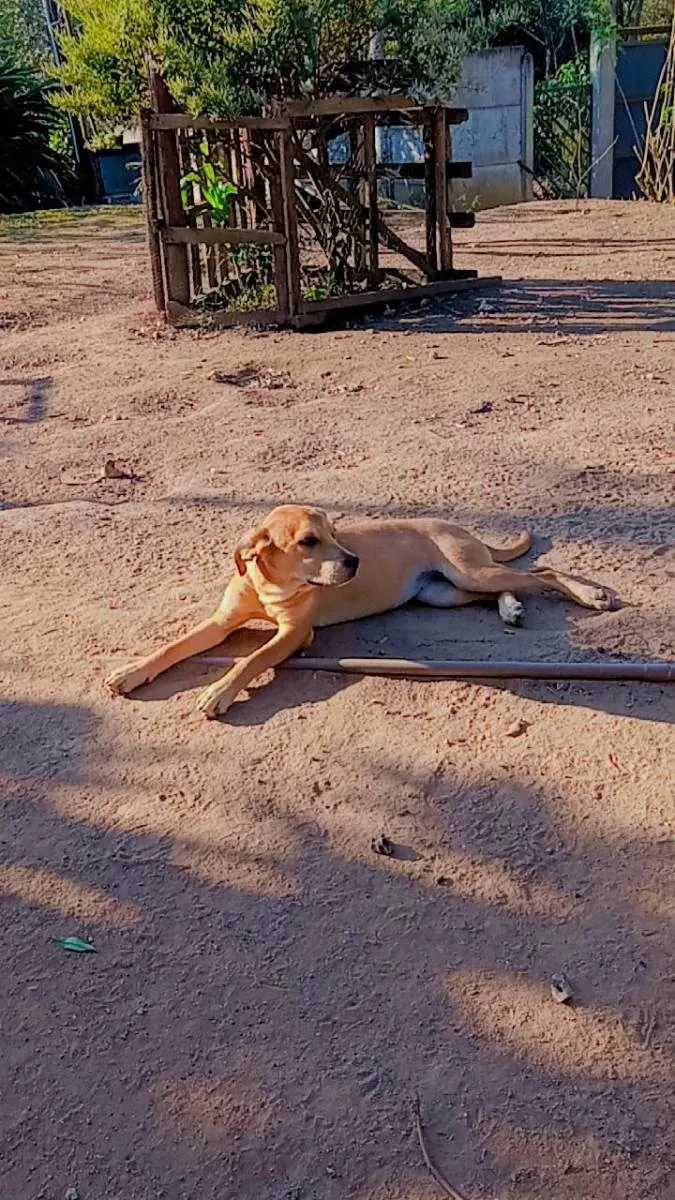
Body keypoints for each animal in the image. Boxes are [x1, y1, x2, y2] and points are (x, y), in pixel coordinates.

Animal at [105, 504, 614, 715]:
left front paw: (218, 691)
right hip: (443, 591)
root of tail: (460, 528)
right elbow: (172, 648)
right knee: (506, 588)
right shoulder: (220, 623)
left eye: (335, 531)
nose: (354, 561)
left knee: (543, 572)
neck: (271, 586)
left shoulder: (295, 635)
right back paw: (509, 609)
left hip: (469, 572)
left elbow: (250, 659)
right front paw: (131, 671)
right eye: (309, 541)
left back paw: (592, 596)